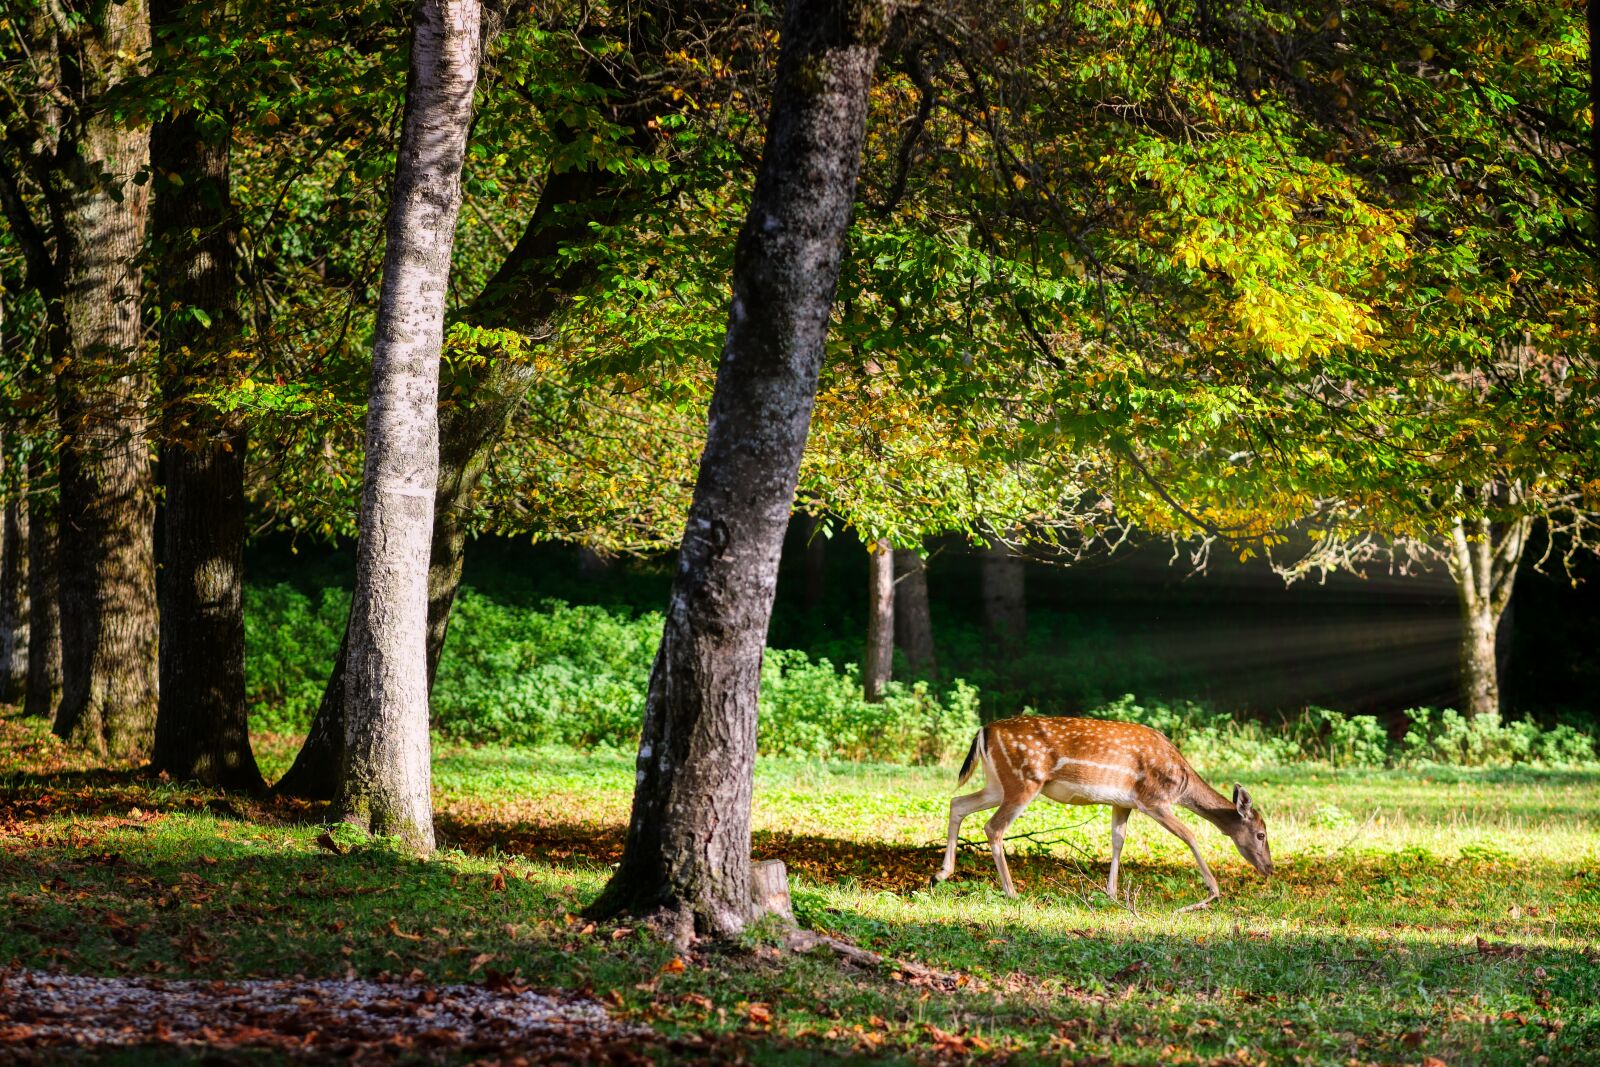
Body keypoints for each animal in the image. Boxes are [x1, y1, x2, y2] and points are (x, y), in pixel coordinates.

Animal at [931, 715, 1273, 910]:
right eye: (1260, 834)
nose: (1269, 868)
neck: (1181, 782)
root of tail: (983, 731)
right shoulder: (1153, 800)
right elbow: (1190, 835)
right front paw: (1211, 893)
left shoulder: (1123, 803)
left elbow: (1117, 840)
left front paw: (1111, 894)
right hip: (1024, 780)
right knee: (994, 827)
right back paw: (1012, 893)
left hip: (997, 783)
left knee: (957, 802)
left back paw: (941, 874)